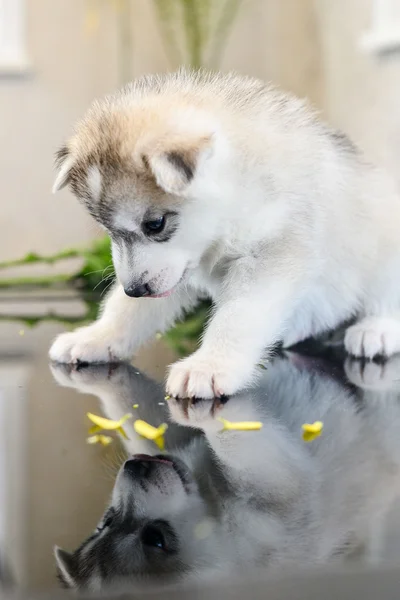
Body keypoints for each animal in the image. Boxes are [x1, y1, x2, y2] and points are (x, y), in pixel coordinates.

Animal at [50, 69, 400, 398]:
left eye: (155, 224)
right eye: (107, 229)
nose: (135, 289)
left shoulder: (271, 254)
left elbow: (237, 317)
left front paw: (209, 366)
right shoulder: (174, 273)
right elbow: (127, 310)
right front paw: (98, 336)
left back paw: (378, 329)